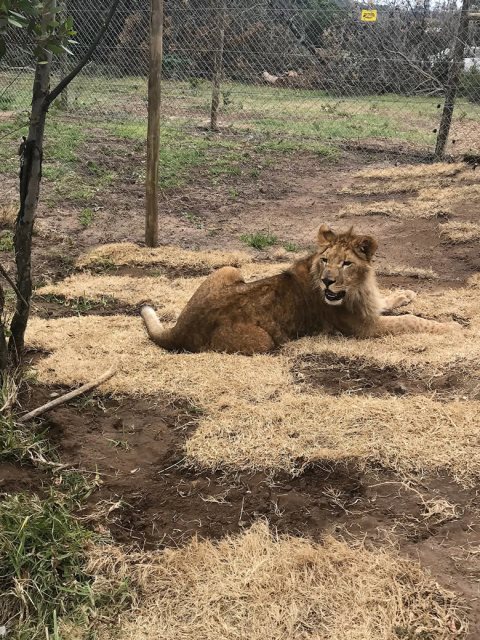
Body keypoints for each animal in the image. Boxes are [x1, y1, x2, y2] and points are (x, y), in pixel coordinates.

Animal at [140, 225, 462, 356]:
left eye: (346, 263)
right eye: (326, 260)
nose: (328, 282)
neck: (355, 288)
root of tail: (179, 329)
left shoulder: (368, 305)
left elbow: (388, 300)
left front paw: (406, 294)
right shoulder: (363, 328)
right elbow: (411, 321)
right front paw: (451, 328)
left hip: (231, 269)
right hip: (262, 342)